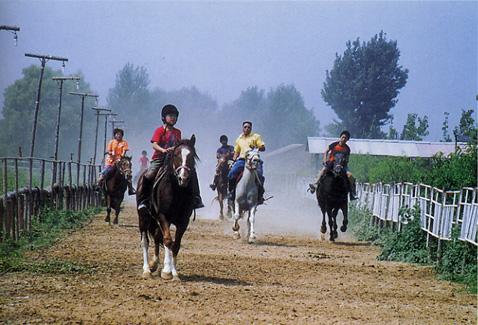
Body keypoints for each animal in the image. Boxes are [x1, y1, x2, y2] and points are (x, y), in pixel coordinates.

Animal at [136, 134, 198, 278]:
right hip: (143, 217)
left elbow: (175, 245)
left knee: (157, 237)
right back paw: (146, 270)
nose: (183, 178)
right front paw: (166, 271)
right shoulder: (163, 216)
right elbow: (168, 240)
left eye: (192, 155)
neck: (177, 191)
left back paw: (155, 264)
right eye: (175, 154)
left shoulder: (183, 221)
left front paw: (174, 273)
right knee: (145, 241)